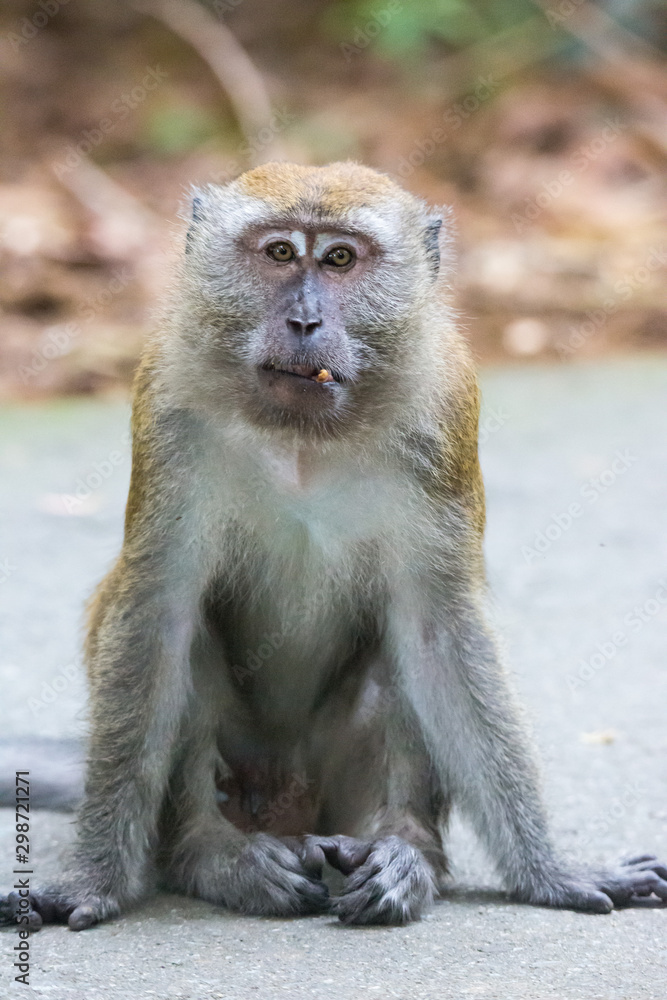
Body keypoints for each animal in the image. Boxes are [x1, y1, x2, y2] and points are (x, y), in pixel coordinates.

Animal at [2, 161, 665, 931]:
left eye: (341, 259)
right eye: (280, 253)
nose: (304, 321)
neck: (303, 436)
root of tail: (290, 808)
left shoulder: (445, 407)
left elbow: (440, 631)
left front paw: (551, 873)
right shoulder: (167, 402)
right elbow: (156, 616)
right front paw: (93, 878)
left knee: (400, 656)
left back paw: (401, 851)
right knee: (190, 641)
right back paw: (213, 853)